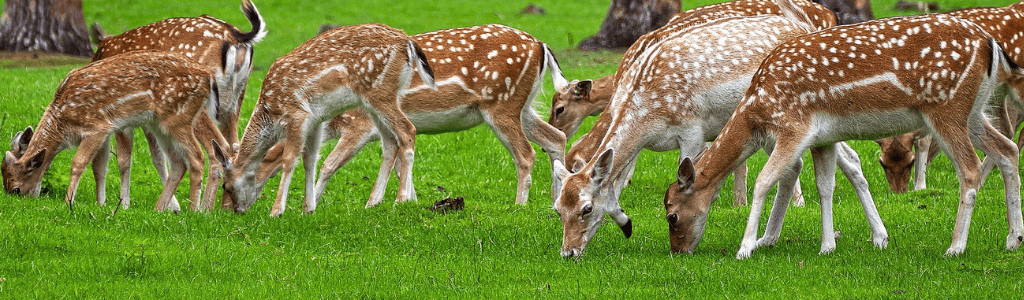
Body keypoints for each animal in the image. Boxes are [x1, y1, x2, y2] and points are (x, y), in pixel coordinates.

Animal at [1, 51, 221, 212]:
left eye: (16, 189)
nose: (21, 200)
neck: (63, 123)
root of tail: (209, 77)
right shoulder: (105, 133)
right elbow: (99, 168)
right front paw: (101, 204)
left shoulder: (96, 127)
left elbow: (78, 163)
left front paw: (68, 202)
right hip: (159, 125)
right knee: (178, 162)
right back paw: (159, 209)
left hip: (178, 118)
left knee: (197, 157)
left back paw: (193, 210)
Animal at [86, 0, 266, 209]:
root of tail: (237, 36)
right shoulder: (150, 120)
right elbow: (158, 156)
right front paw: (173, 207)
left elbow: (124, 159)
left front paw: (123, 205)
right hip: (234, 102)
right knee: (234, 146)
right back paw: (225, 207)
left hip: (199, 107)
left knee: (218, 148)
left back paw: (203, 208)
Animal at [214, 23, 438, 215]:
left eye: (226, 185)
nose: (237, 210)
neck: (270, 112)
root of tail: (407, 41)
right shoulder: (316, 120)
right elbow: (310, 160)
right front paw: (308, 209)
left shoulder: (297, 114)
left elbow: (289, 159)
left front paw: (277, 211)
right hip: (379, 101)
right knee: (390, 142)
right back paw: (373, 202)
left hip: (379, 92)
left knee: (407, 130)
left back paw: (401, 199)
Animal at [249, 24, 569, 208]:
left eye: (261, 161)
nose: (245, 202)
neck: (333, 120)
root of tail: (541, 46)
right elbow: (399, 165)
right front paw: (410, 200)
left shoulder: (359, 123)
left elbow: (329, 164)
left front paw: (313, 201)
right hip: (522, 106)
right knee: (556, 136)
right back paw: (556, 202)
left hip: (502, 104)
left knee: (526, 153)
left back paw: (520, 205)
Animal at [663, 14, 1024, 258]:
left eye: (671, 215)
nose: (678, 251)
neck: (757, 109)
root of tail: (990, 44)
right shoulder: (822, 137)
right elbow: (825, 186)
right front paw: (827, 246)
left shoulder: (794, 127)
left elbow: (764, 181)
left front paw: (746, 247)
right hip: (973, 111)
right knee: (1007, 149)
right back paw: (1013, 239)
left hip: (945, 108)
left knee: (971, 168)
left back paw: (956, 246)